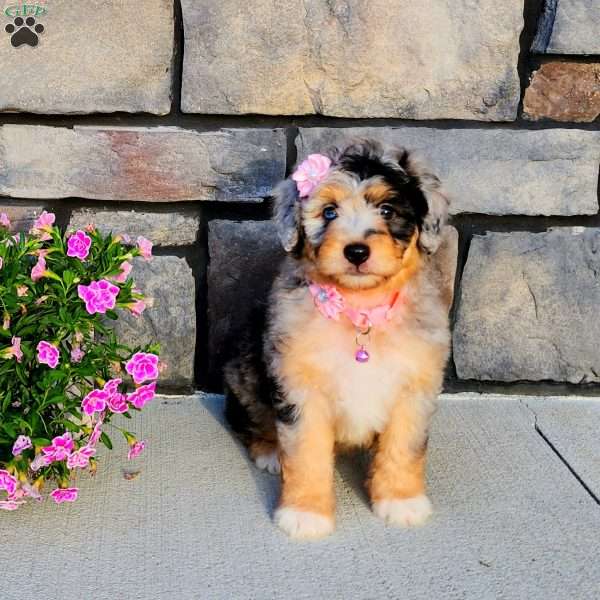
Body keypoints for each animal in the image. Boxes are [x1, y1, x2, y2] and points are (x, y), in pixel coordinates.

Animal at [225, 139, 450, 540]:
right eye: (329, 212)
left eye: (387, 209)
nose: (356, 251)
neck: (360, 310)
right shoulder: (301, 387)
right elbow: (306, 454)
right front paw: (305, 513)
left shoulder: (416, 387)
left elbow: (404, 447)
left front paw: (401, 501)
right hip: (246, 372)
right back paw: (269, 451)